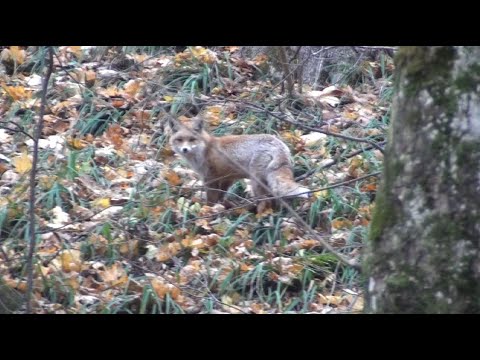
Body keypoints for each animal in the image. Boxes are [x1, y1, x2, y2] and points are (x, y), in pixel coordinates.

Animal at [169, 116, 310, 212]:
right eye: (179, 140)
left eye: (192, 139)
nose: (185, 149)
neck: (205, 150)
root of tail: (278, 144)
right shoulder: (228, 178)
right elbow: (221, 196)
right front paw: (221, 207)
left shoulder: (210, 178)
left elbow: (211, 199)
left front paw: (209, 210)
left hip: (255, 182)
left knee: (265, 201)